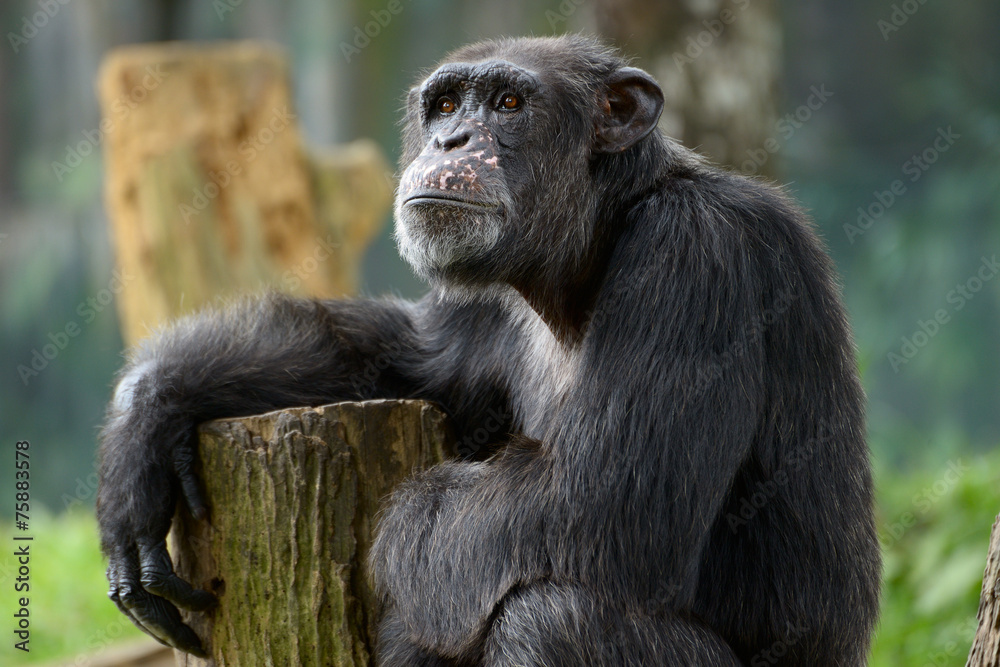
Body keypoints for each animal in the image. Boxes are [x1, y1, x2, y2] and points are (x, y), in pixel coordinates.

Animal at [97, 34, 881, 665]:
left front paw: (398, 533)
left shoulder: (698, 253)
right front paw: (144, 430)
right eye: (445, 105)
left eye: (507, 103)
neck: (593, 240)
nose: (451, 141)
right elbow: (393, 351)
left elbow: (600, 499)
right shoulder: (482, 308)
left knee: (552, 614)